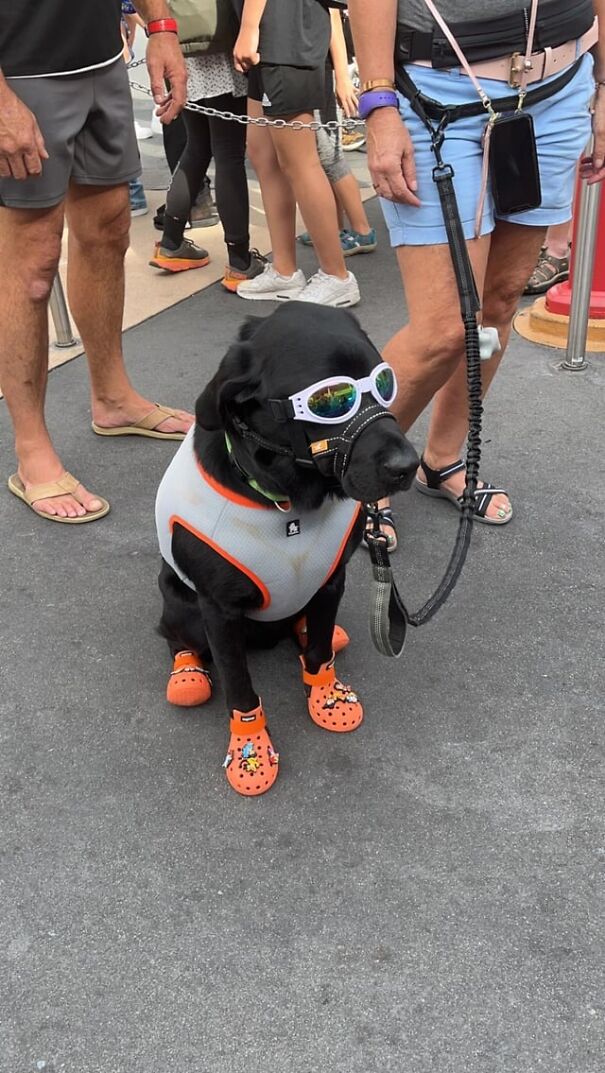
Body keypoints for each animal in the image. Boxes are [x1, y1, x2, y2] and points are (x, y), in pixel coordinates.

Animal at [155, 302, 418, 798]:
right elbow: (239, 686)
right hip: (180, 604)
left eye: (384, 382)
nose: (407, 466)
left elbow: (318, 651)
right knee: (175, 637)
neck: (288, 503)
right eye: (331, 400)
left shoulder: (331, 581)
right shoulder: (218, 610)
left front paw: (327, 696)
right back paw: (188, 674)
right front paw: (250, 748)